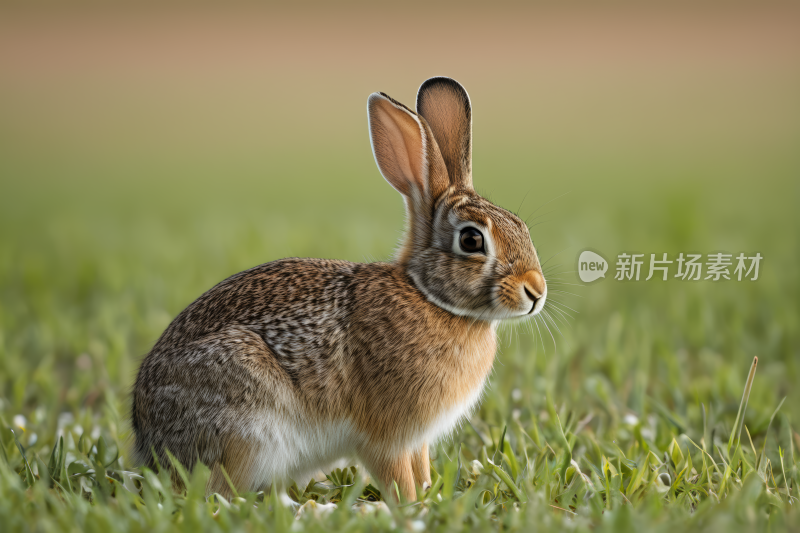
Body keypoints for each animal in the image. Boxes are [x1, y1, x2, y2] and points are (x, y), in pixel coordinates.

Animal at [133, 77, 544, 500]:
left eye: (520, 225)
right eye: (472, 240)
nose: (536, 291)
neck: (431, 298)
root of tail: (149, 441)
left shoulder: (417, 441)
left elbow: (421, 467)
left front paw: (431, 495)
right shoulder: (386, 436)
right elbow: (398, 476)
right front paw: (413, 506)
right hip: (246, 423)